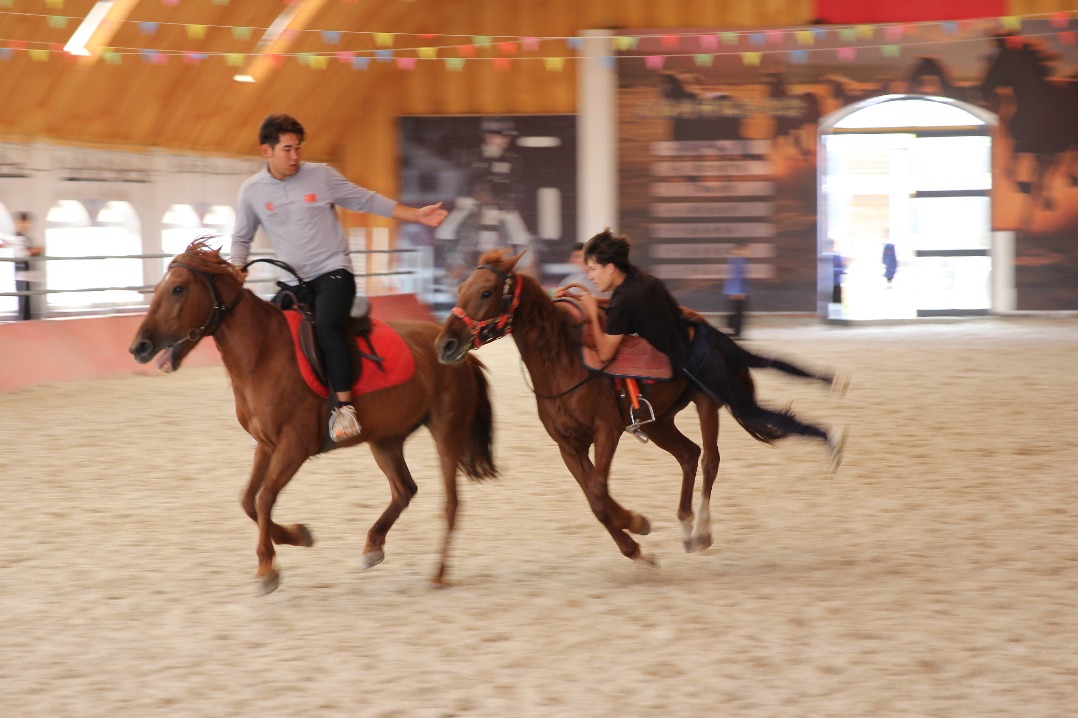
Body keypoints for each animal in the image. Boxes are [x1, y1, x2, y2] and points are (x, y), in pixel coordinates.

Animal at [129, 241, 497, 594]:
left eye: (177, 289)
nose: (139, 347)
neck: (263, 353)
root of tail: (458, 351)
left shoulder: (295, 445)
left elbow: (264, 498)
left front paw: (267, 567)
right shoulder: (266, 444)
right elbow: (248, 501)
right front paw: (296, 535)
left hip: (447, 430)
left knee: (450, 504)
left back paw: (438, 574)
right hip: (385, 439)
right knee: (404, 489)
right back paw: (373, 546)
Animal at [435, 249, 845, 567]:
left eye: (486, 291)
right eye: (460, 289)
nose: (446, 344)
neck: (564, 361)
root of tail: (701, 325)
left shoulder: (607, 431)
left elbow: (598, 491)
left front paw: (635, 526)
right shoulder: (568, 445)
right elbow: (594, 497)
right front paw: (634, 535)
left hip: (710, 400)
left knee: (711, 458)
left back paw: (703, 529)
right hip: (658, 421)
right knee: (689, 454)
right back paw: (685, 524)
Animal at [981, 34, 1078, 224]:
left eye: (1001, 61)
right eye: (988, 59)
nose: (983, 90)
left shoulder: (1044, 151)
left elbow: (1037, 183)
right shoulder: (1021, 147)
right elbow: (1009, 171)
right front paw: (1026, 188)